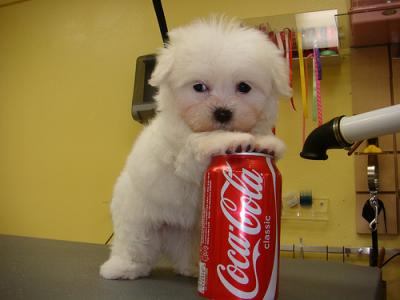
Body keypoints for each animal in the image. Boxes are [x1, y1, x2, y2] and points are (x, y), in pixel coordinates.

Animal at [100, 15, 290, 278]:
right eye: (199, 87)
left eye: (244, 87)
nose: (222, 112)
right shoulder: (181, 151)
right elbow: (200, 143)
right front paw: (230, 141)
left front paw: (267, 144)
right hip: (136, 220)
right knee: (134, 245)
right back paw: (121, 267)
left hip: (192, 234)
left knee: (185, 252)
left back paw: (192, 268)